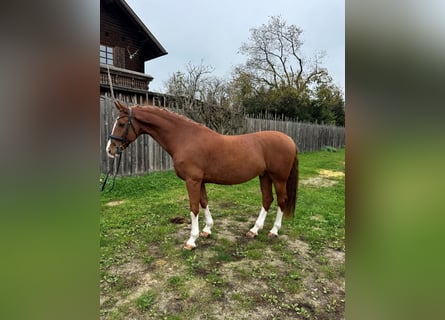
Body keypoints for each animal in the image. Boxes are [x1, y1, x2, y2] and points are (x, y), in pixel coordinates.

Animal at [106, 101, 298, 249]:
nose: (110, 150)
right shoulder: (201, 181)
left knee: (281, 200)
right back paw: (254, 230)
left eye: (121, 124)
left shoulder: (192, 181)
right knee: (267, 200)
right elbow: (204, 202)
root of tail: (289, 140)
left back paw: (273, 231)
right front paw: (207, 230)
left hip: (279, 178)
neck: (185, 138)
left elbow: (194, 208)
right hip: (264, 176)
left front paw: (191, 240)